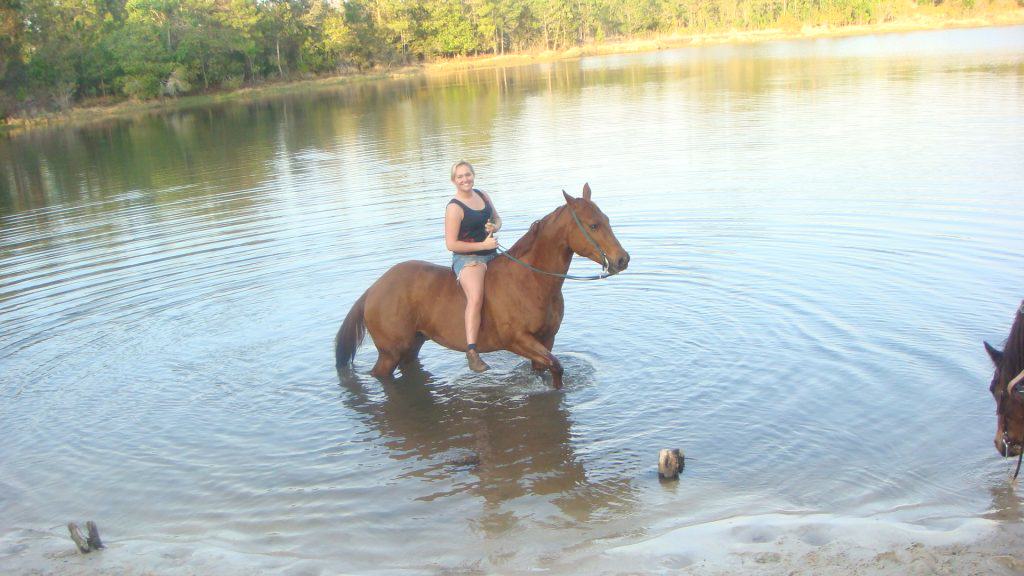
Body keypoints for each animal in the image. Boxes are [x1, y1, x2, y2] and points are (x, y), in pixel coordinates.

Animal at [335, 186, 626, 387]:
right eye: (593, 225)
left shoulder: (546, 339)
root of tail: (373, 289)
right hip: (390, 353)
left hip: (412, 346)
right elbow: (557, 367)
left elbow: (546, 368)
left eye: (607, 220)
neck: (531, 281)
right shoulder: (518, 340)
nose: (623, 259)